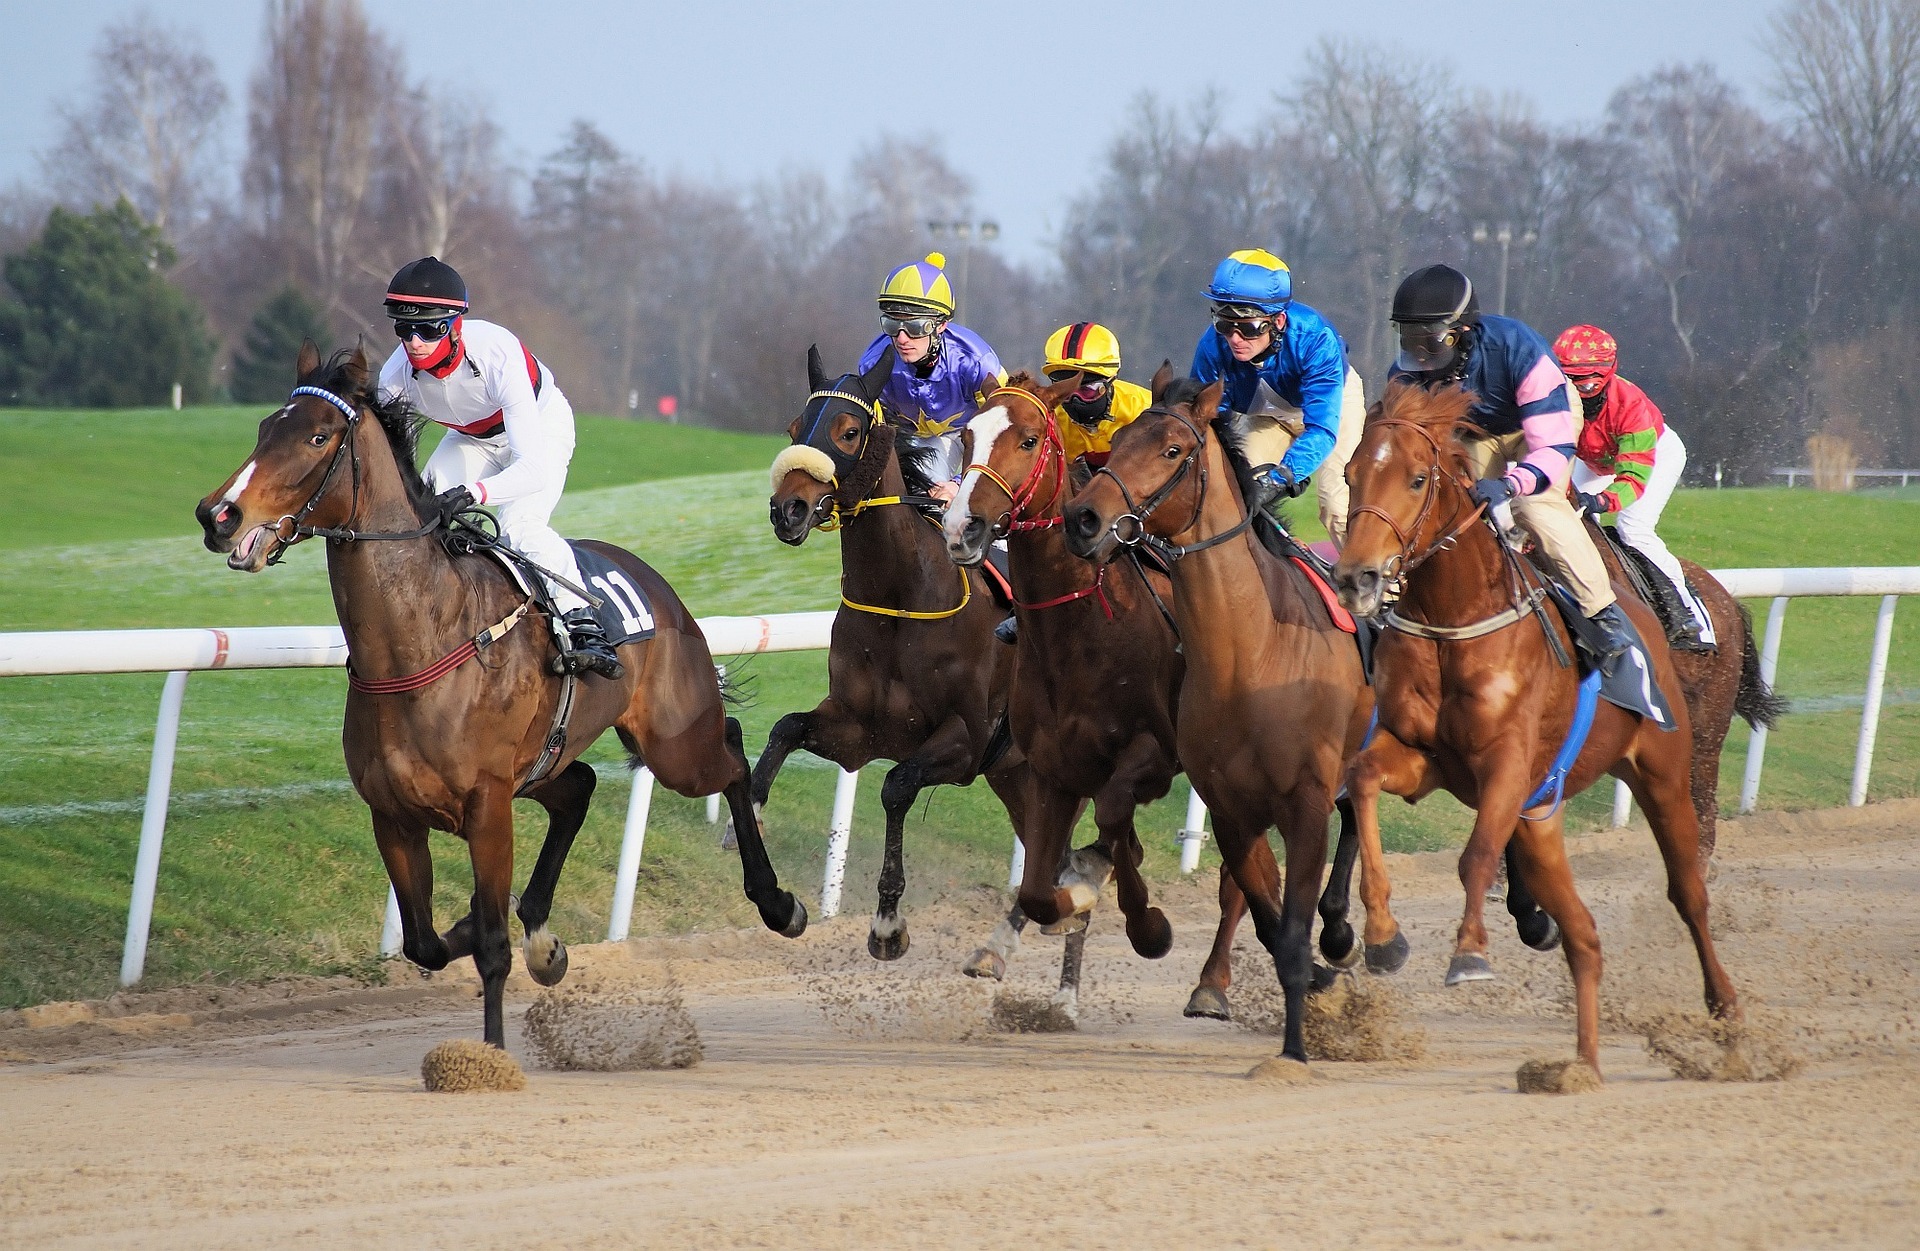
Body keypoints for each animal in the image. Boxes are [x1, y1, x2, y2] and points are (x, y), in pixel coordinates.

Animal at [200, 341, 810, 1043]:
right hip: (547, 759)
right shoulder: (393, 816)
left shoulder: (489, 807)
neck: (421, 640)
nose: (217, 514)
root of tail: (660, 587)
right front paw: (486, 927)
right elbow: (426, 943)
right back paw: (543, 934)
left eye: (318, 437)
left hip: (674, 745)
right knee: (580, 788)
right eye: (264, 429)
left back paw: (778, 901)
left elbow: (491, 949)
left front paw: (492, 1046)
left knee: (731, 755)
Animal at [752, 347, 1036, 963]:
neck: (902, 597)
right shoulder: (858, 729)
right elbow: (785, 729)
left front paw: (887, 924)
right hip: (1016, 775)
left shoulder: (967, 741)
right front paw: (751, 829)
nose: (788, 510)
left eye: (849, 430)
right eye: (793, 427)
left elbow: (897, 786)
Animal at [1059, 376, 1390, 1059]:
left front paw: (1297, 1046)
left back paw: (1346, 930)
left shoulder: (1304, 801)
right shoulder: (1232, 806)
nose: (1083, 518)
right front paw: (1312, 992)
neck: (1250, 652)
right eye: (1118, 440)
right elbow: (1269, 921)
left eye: (1172, 450)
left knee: (1360, 815)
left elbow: (1289, 918)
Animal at [1336, 381, 1743, 1074]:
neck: (1454, 619)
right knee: (1581, 927)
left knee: (1689, 889)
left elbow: (1475, 855)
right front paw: (1385, 937)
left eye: (1416, 479)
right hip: (1540, 814)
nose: (1356, 578)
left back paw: (1725, 1007)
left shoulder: (1507, 761)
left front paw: (1470, 953)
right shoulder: (1421, 756)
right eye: (1350, 473)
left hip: (1667, 770)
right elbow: (1362, 780)